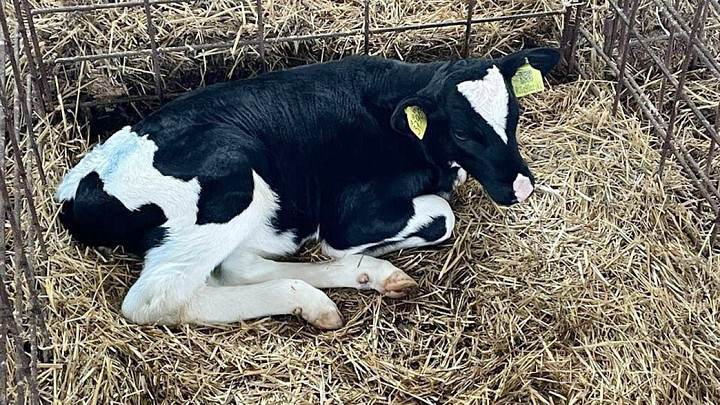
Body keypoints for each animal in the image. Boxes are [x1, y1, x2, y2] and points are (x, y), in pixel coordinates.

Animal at [57, 47, 564, 328]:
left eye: (515, 114)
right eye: (462, 132)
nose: (521, 187)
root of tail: (78, 188)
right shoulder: (349, 215)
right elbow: (441, 215)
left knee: (236, 265)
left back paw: (364, 278)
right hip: (232, 179)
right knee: (157, 299)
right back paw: (312, 298)